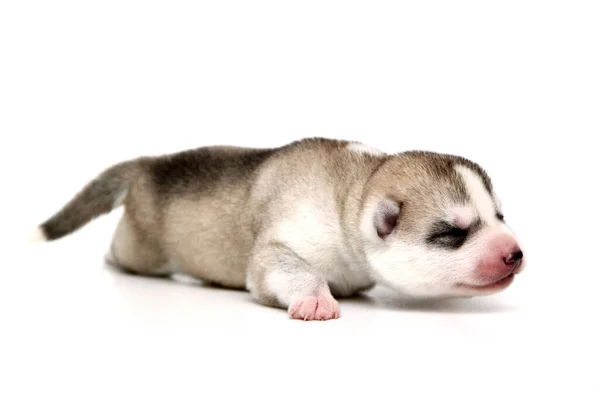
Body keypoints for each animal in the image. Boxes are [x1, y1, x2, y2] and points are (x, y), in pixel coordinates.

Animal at [31, 139, 524, 320]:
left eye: (499, 217)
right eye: (453, 232)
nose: (515, 253)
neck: (354, 190)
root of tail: (150, 163)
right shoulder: (280, 242)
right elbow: (282, 266)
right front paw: (314, 298)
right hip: (142, 248)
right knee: (122, 251)